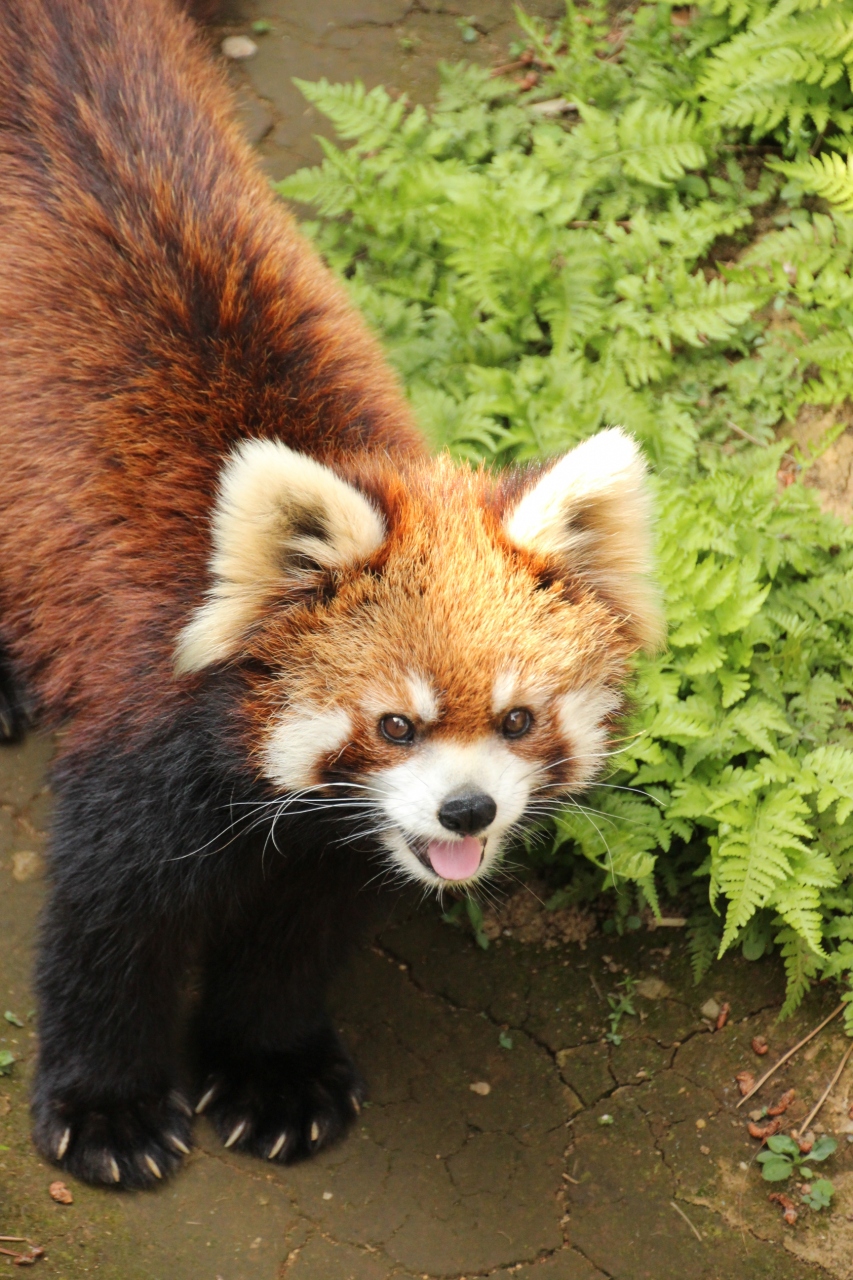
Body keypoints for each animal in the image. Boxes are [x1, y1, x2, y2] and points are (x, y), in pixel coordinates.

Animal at [0, 0, 660, 1187]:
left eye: (517, 719)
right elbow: (109, 927)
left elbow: (297, 936)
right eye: (394, 723)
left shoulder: (344, 840)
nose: (467, 810)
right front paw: (108, 1105)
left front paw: (274, 1071)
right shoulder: (139, 736)